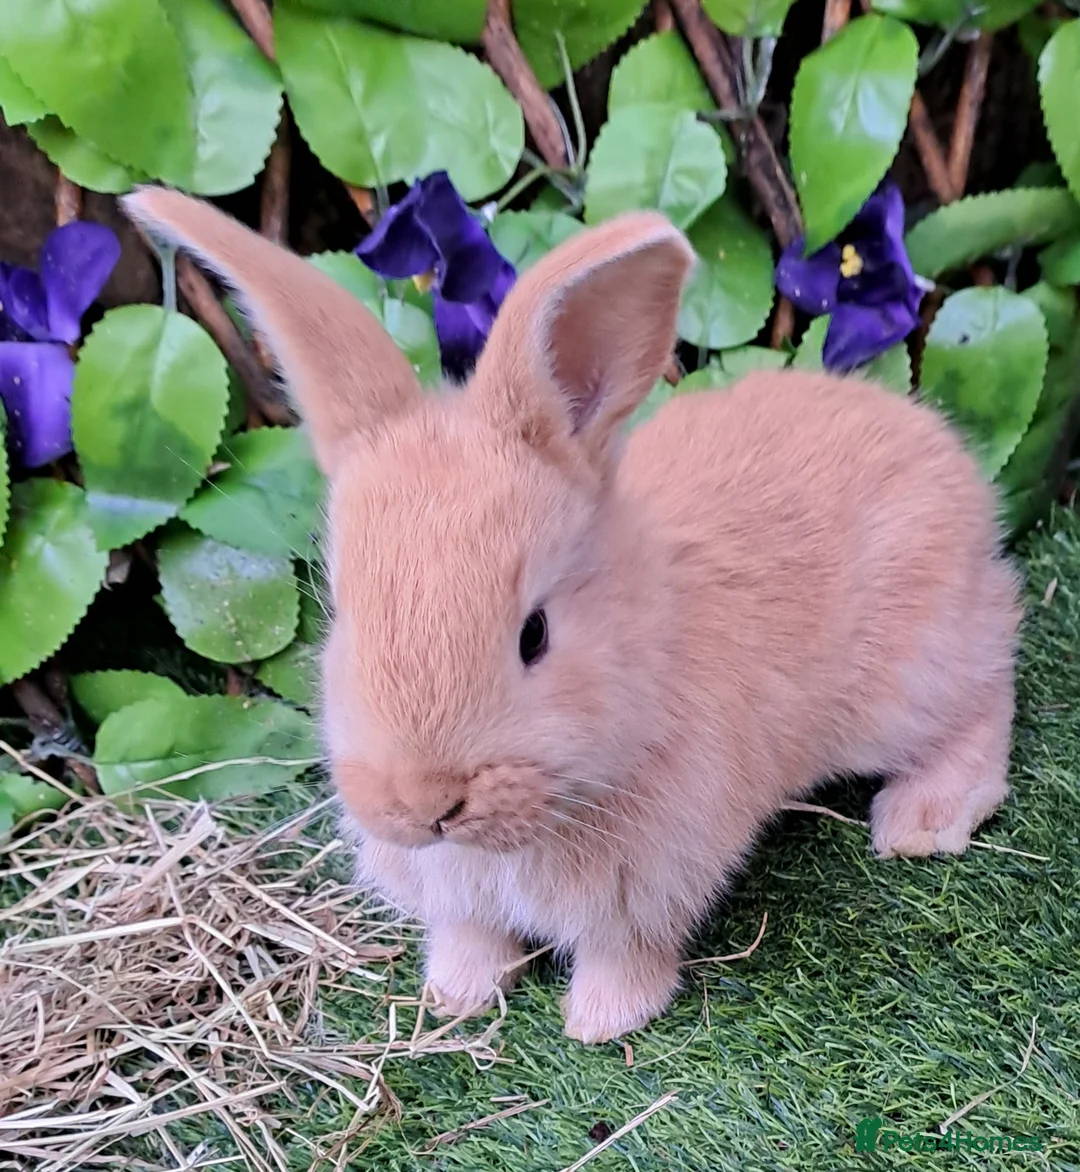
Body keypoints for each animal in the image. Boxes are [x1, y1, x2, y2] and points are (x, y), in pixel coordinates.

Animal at [123, 187, 1023, 1045]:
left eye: (535, 635)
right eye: (342, 614)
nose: (423, 804)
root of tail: (941, 452)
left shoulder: (649, 885)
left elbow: (625, 954)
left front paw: (600, 1023)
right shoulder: (463, 900)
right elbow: (472, 939)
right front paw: (456, 1000)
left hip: (911, 674)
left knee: (986, 690)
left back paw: (921, 821)